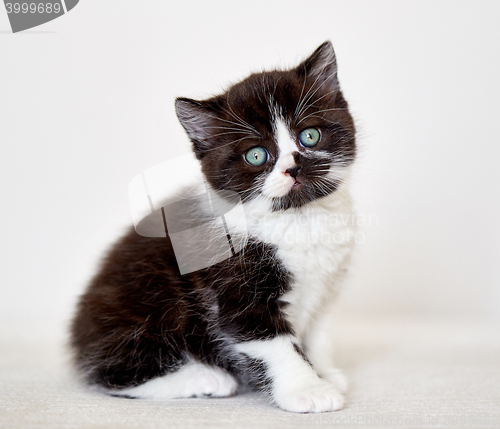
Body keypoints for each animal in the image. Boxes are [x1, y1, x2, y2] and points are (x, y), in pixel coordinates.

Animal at [71, 41, 360, 412]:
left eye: (309, 136)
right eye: (256, 156)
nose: (293, 168)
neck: (298, 217)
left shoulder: (327, 287)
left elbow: (319, 332)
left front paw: (324, 372)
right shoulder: (234, 287)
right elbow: (273, 342)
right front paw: (308, 389)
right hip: (147, 305)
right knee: (110, 372)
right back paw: (205, 378)